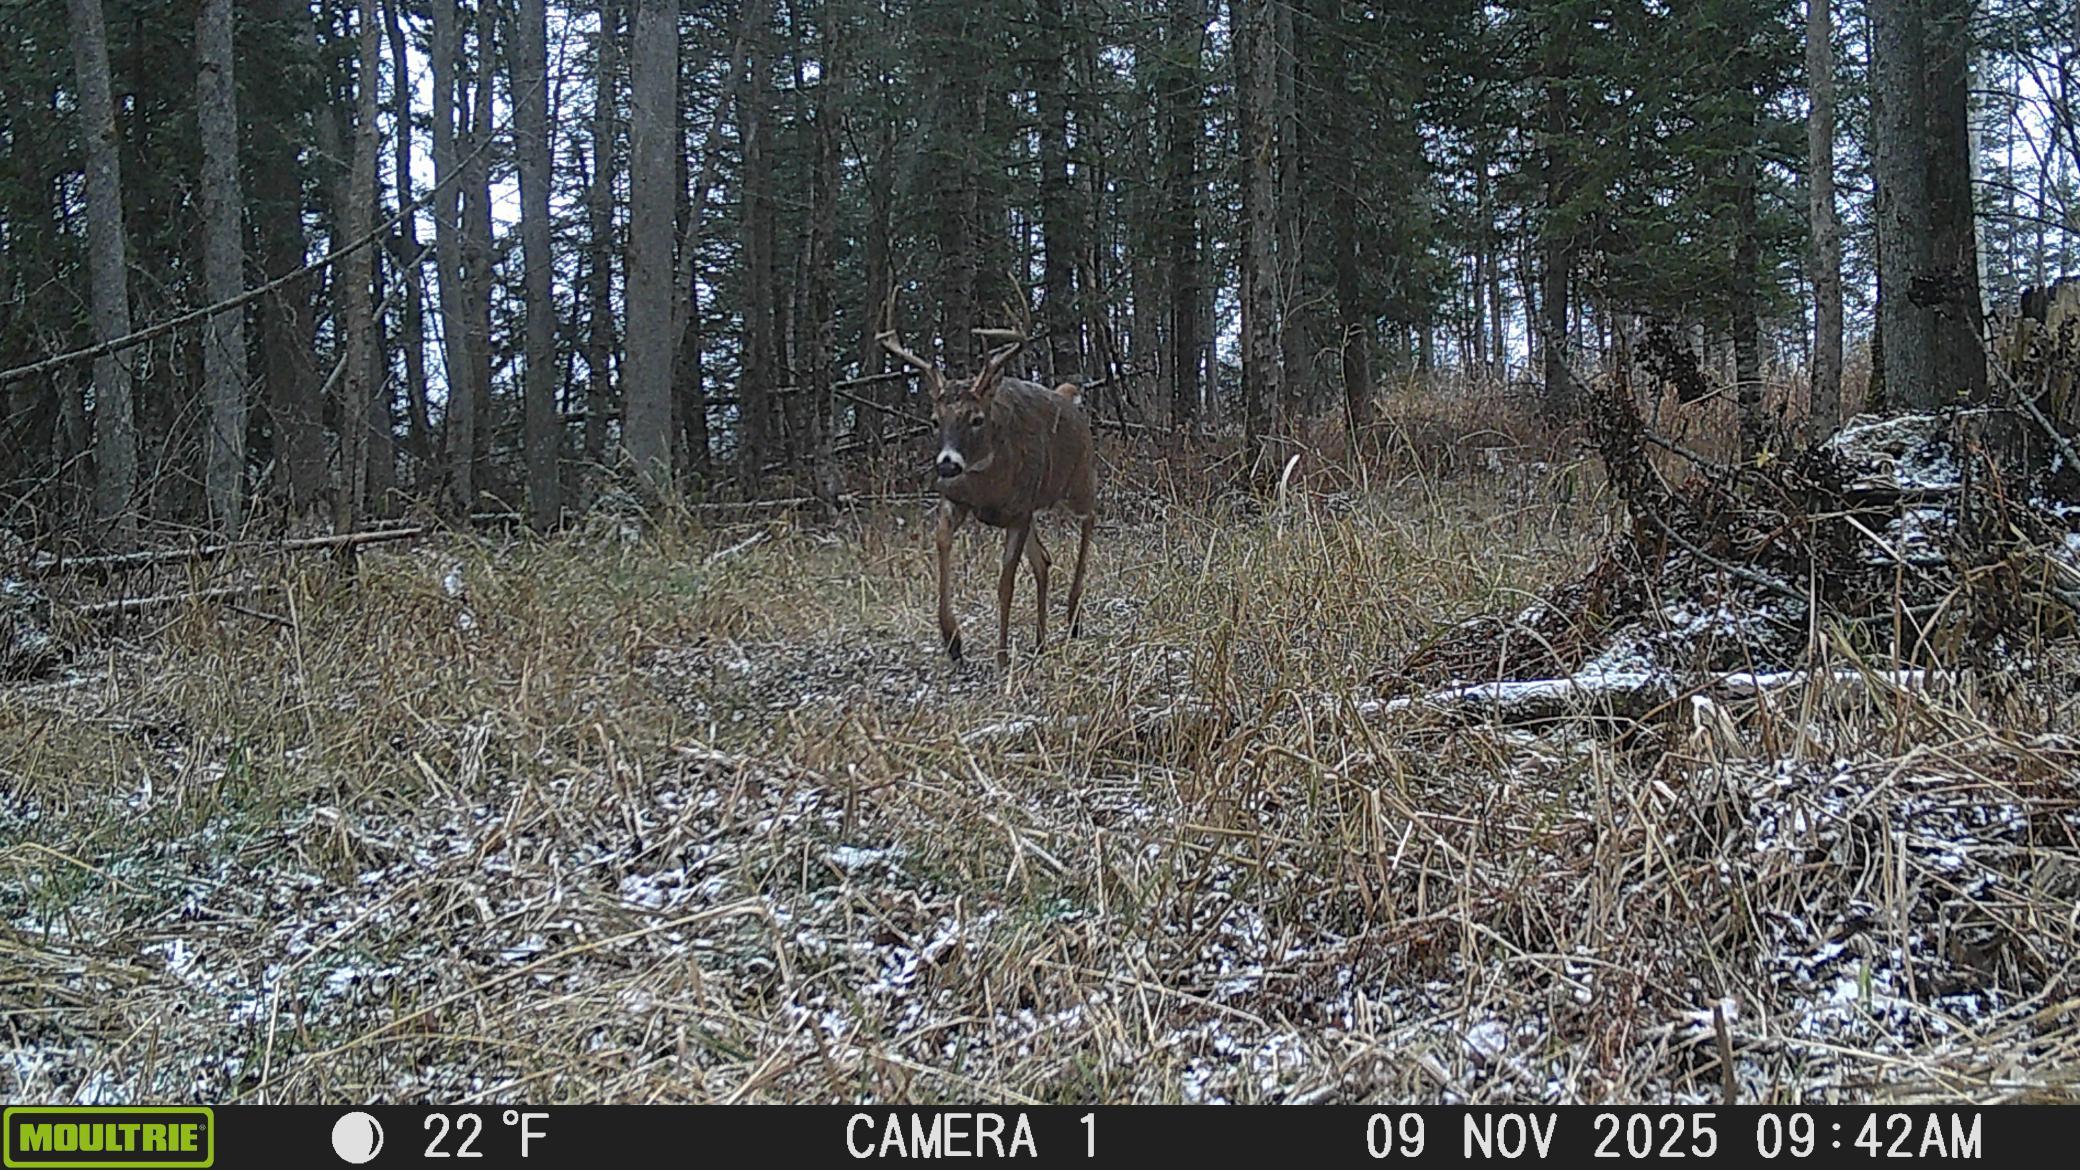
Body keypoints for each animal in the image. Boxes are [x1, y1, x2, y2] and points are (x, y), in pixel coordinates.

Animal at [879, 328, 1098, 669]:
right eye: (934, 419)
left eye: (977, 418)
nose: (947, 464)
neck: (988, 485)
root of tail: (1066, 397)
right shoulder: (957, 499)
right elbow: (941, 542)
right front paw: (953, 640)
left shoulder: (1020, 512)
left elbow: (1005, 583)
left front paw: (1002, 656)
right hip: (1037, 508)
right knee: (1043, 560)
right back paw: (1040, 641)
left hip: (1078, 481)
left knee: (1089, 520)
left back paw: (1073, 616)